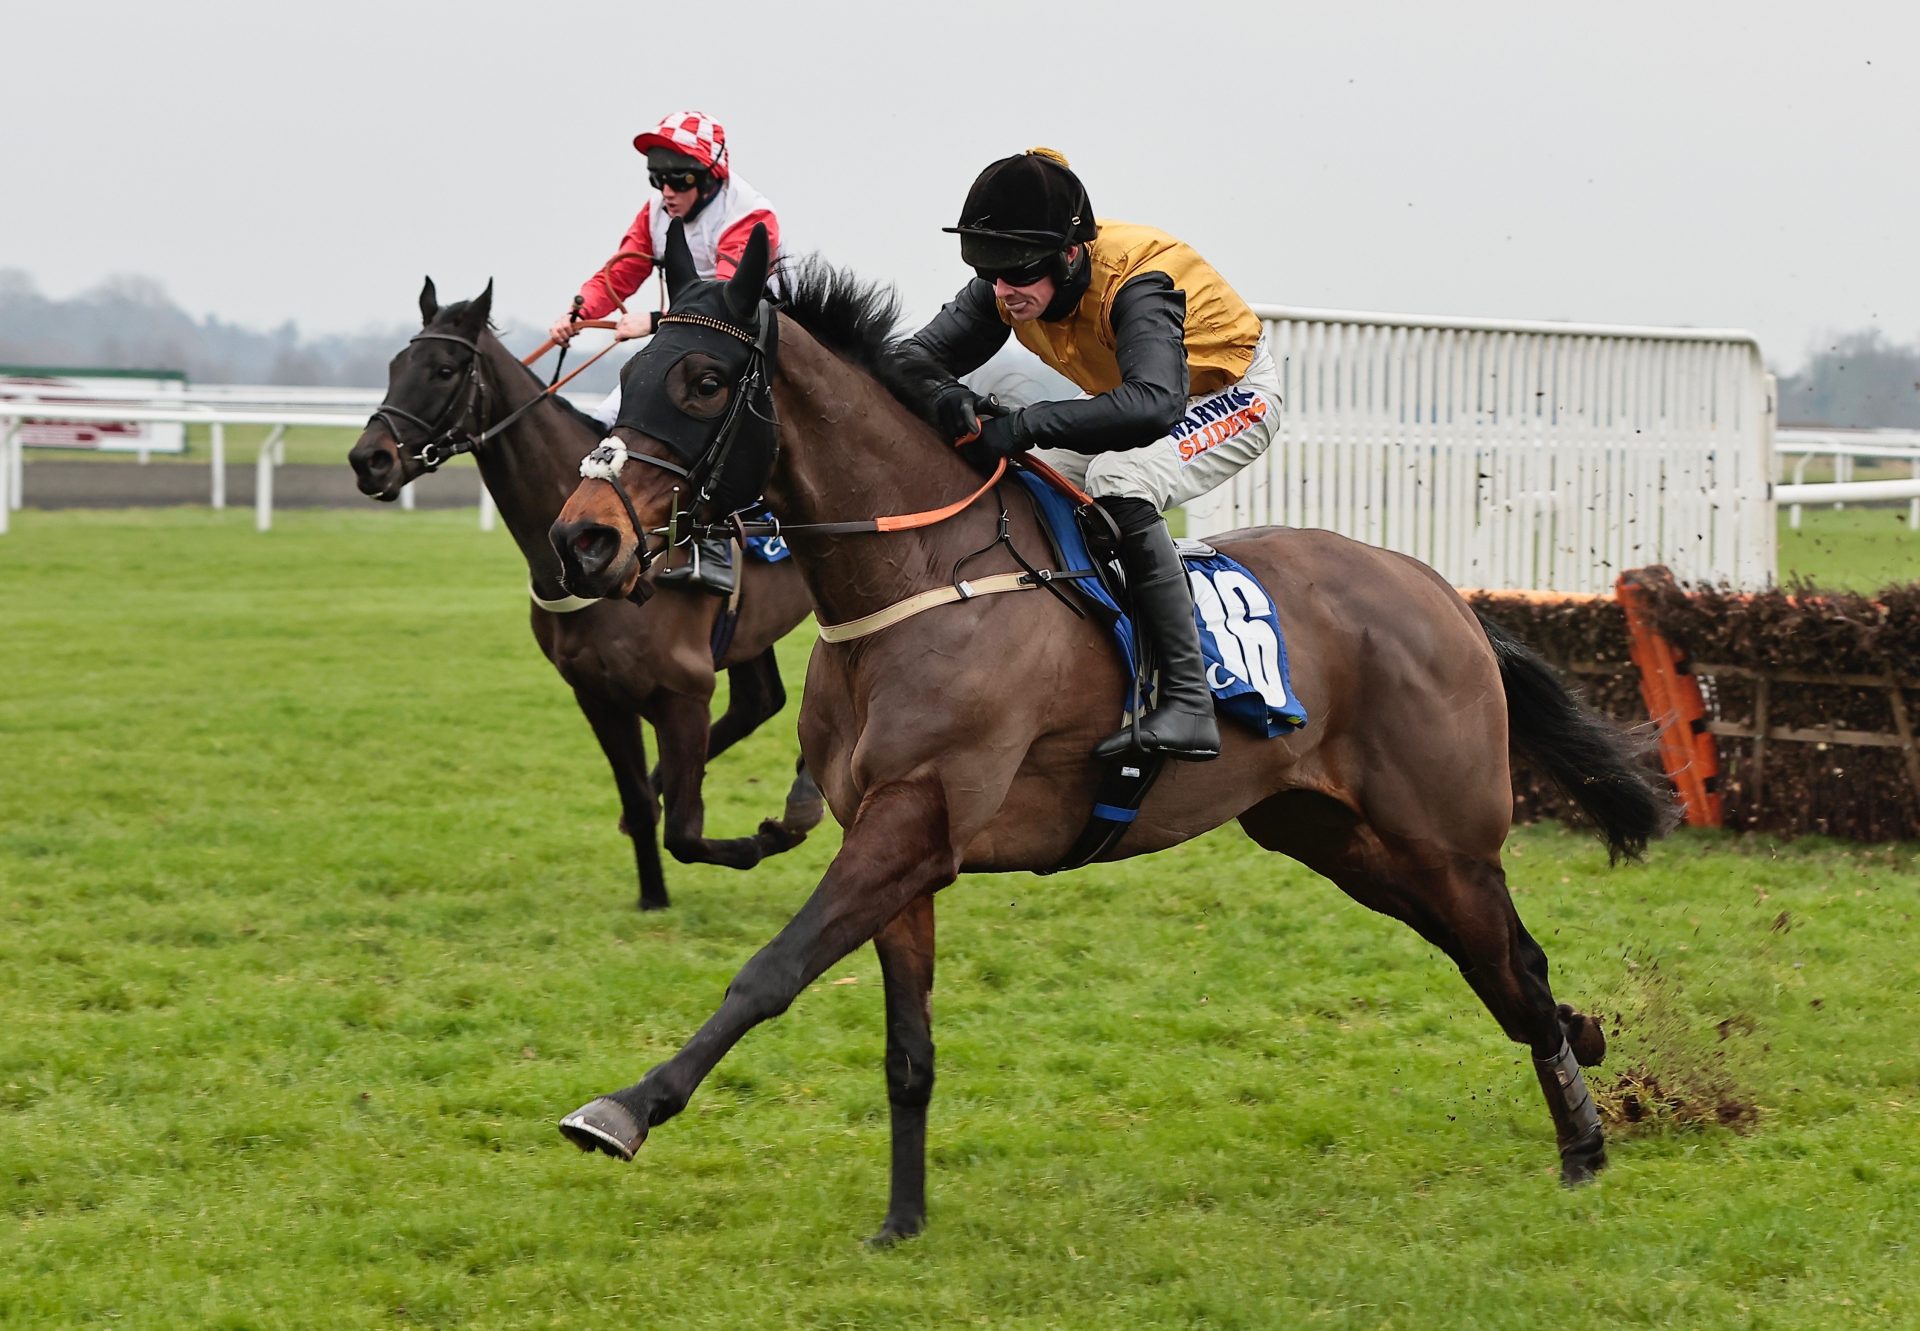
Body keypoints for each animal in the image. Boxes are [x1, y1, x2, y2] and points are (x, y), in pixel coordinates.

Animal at [349, 274, 821, 910]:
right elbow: (641, 806)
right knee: (759, 701)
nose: (368, 459)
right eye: (397, 364)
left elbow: (686, 830)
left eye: (444, 369)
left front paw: (767, 838)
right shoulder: (597, 694)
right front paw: (653, 899)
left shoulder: (682, 692)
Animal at [545, 225, 1681, 1236]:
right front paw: (902, 1221)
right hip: (1336, 835)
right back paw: (1581, 1056)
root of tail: (1442, 591)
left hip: (1442, 835)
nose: (582, 540)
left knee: (1511, 963)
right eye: (631, 369)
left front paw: (622, 1109)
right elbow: (907, 1049)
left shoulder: (913, 821)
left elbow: (770, 970)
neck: (917, 580)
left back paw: (1584, 1142)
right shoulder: (896, 838)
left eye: (700, 380)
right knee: (1498, 966)